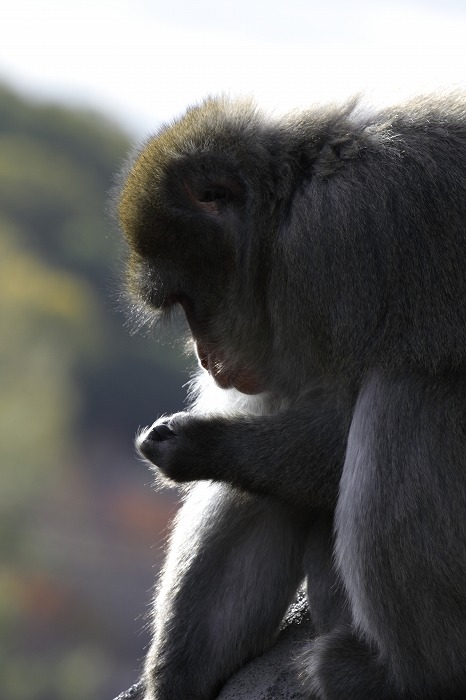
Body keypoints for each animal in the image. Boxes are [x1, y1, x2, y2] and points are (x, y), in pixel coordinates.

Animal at [116, 94, 466, 700]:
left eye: (190, 301)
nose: (205, 357)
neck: (283, 217)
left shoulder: (332, 261)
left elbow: (336, 438)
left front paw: (197, 447)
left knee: (405, 389)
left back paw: (406, 677)